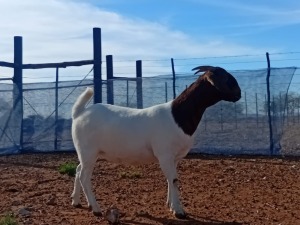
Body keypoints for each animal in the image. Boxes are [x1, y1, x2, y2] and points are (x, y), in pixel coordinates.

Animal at [70, 65, 241, 218]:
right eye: (226, 78)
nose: (239, 94)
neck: (177, 115)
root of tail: (79, 113)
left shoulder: (174, 158)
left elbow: (171, 180)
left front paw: (170, 205)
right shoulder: (165, 154)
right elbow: (174, 180)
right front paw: (179, 211)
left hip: (88, 153)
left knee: (78, 170)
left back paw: (77, 202)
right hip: (88, 151)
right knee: (84, 176)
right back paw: (96, 209)